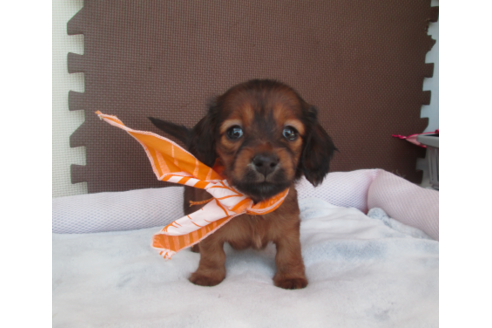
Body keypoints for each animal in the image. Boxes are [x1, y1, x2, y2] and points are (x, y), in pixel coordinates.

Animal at [149, 79, 334, 290]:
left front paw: (291, 276)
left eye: (290, 132)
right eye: (234, 132)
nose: (265, 162)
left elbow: (290, 253)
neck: (253, 202)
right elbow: (212, 253)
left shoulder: (289, 228)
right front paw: (207, 275)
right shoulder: (212, 226)